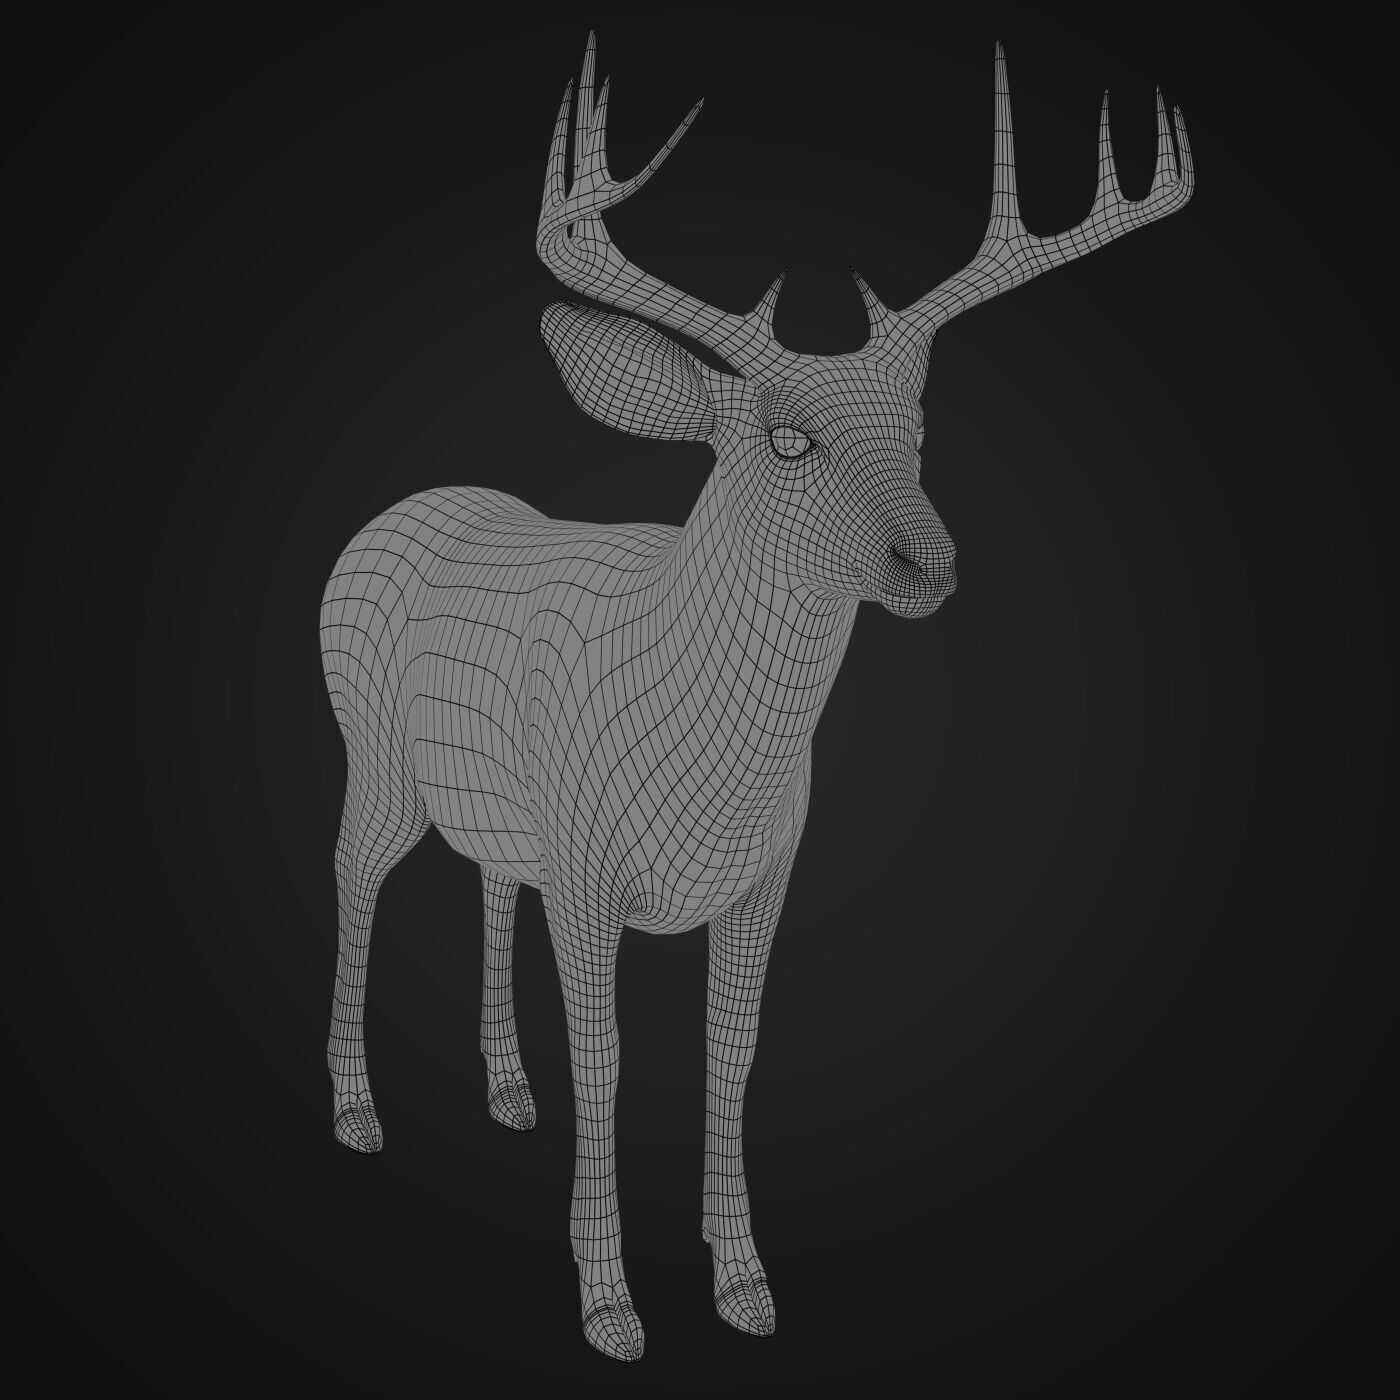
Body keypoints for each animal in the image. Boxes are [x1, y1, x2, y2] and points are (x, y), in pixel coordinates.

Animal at [318, 33, 1194, 1361]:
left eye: (918, 424)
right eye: (786, 439)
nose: (926, 562)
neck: (708, 768)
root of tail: (378, 521)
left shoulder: (771, 863)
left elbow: (731, 1053)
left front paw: (742, 1279)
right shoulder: (589, 862)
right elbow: (606, 1058)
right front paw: (609, 1300)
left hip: (506, 807)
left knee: (486, 876)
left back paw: (506, 1088)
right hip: (372, 747)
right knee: (354, 873)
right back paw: (358, 1108)